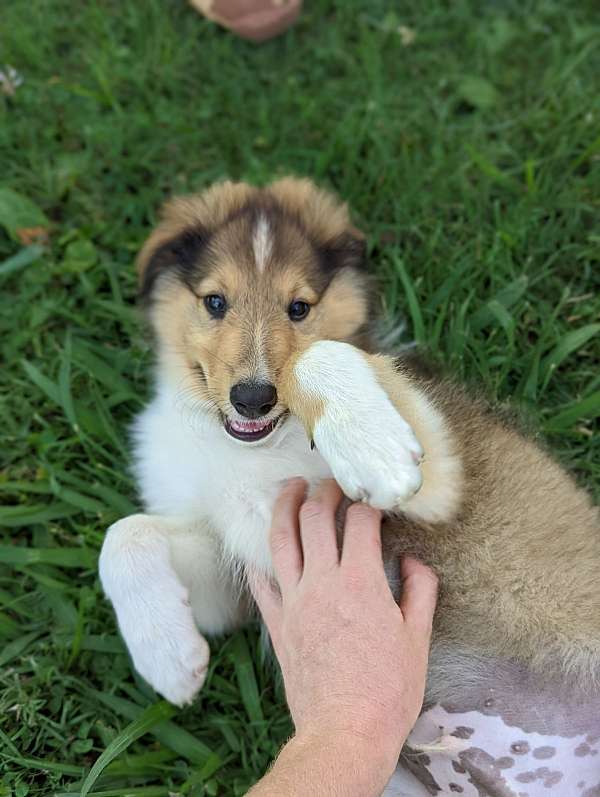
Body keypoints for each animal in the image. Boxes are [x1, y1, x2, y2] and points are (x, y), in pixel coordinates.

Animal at [98, 177, 600, 792]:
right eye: (215, 302)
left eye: (299, 307)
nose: (252, 399)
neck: (244, 448)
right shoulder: (232, 569)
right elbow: (125, 534)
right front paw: (168, 659)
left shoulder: (440, 480)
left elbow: (326, 353)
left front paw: (375, 452)